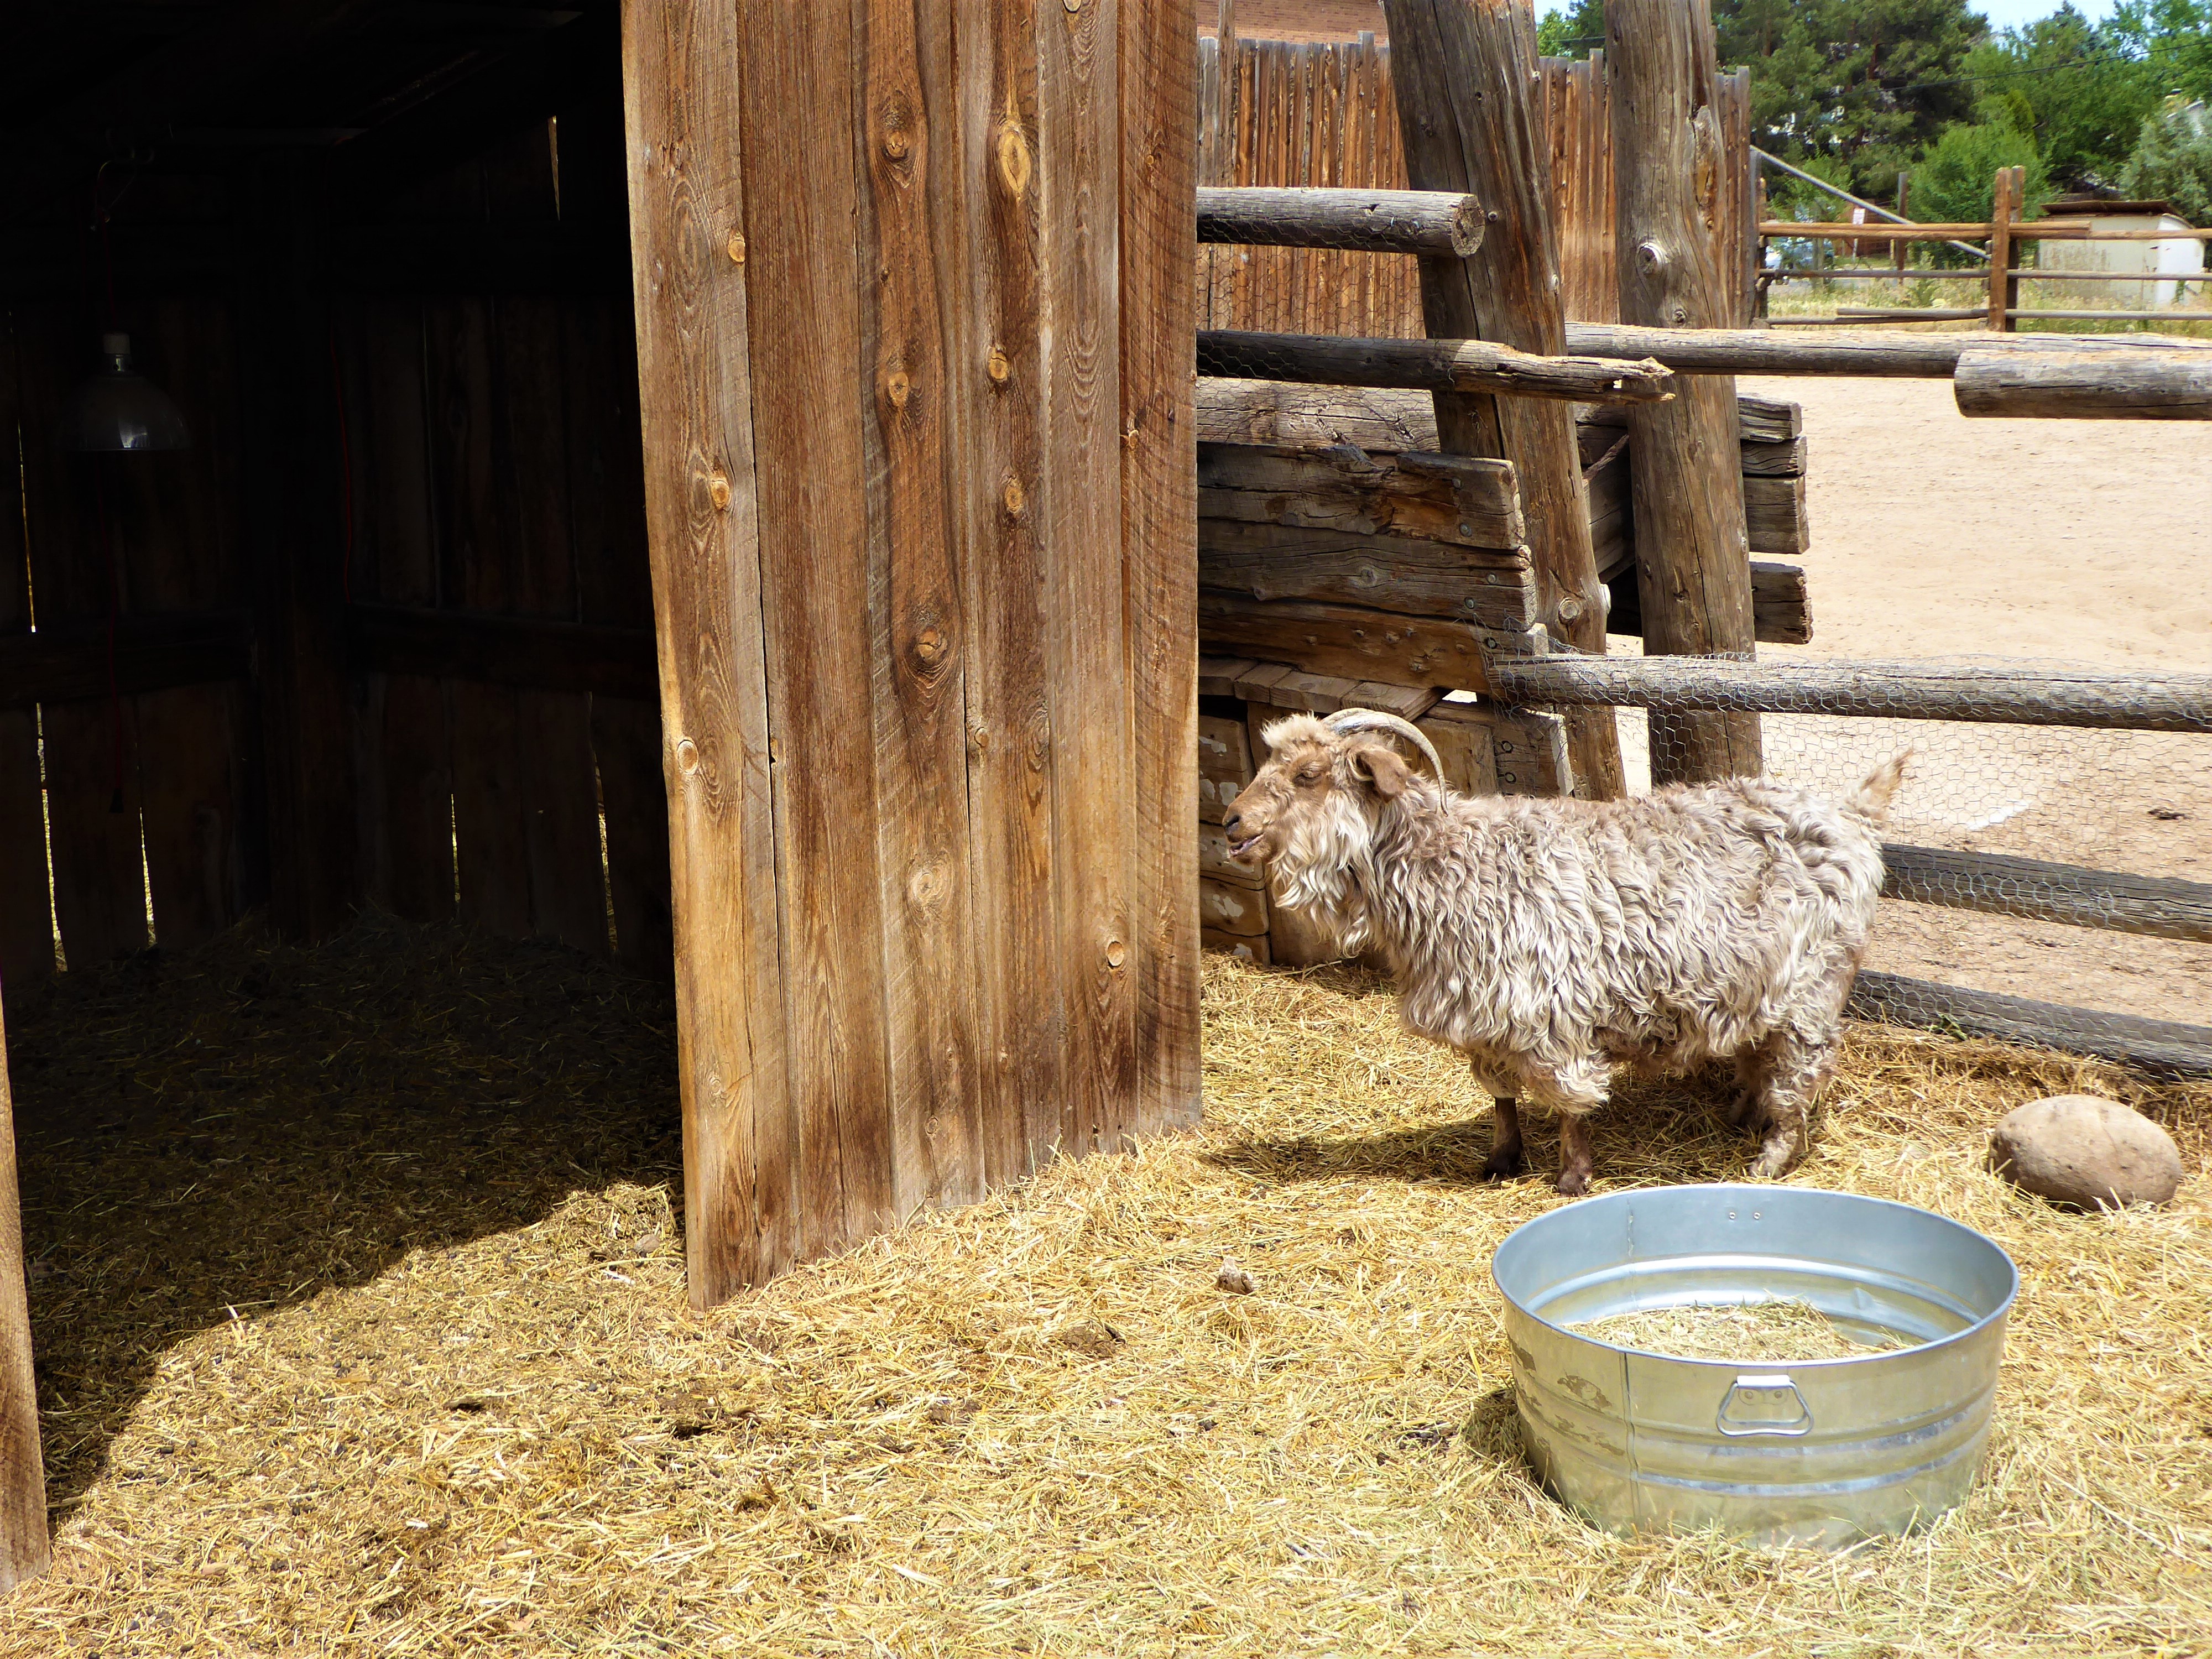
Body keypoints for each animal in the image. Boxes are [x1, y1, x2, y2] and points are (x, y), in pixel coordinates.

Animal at [1221, 712, 1911, 1194]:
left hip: (1813, 988)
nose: (1230, 822)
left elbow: (1570, 1102)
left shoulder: (1550, 1014)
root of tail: (1851, 813)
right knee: (1757, 1051)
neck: (1447, 863)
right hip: (1758, 984)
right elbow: (1499, 1094)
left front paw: (1571, 1177)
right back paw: (1742, 1115)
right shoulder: (1484, 1016)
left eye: (1308, 776)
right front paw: (1500, 1160)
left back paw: (1767, 1158)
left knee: (1800, 1074)